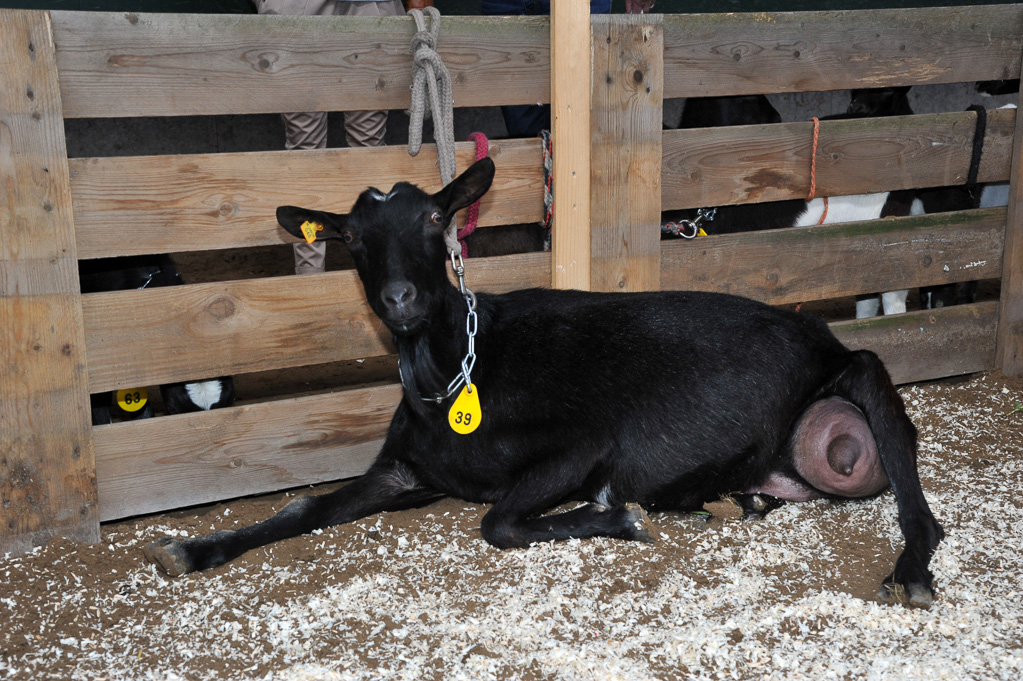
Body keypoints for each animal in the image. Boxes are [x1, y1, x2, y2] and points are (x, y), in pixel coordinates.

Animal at [144, 157, 941, 605]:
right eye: (352, 237)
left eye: (435, 218)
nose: (399, 298)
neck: (453, 373)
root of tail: (817, 338)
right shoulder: (403, 471)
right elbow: (303, 505)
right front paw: (196, 548)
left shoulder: (581, 444)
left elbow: (496, 522)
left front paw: (615, 516)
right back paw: (726, 499)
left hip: (858, 374)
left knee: (912, 487)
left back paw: (909, 570)